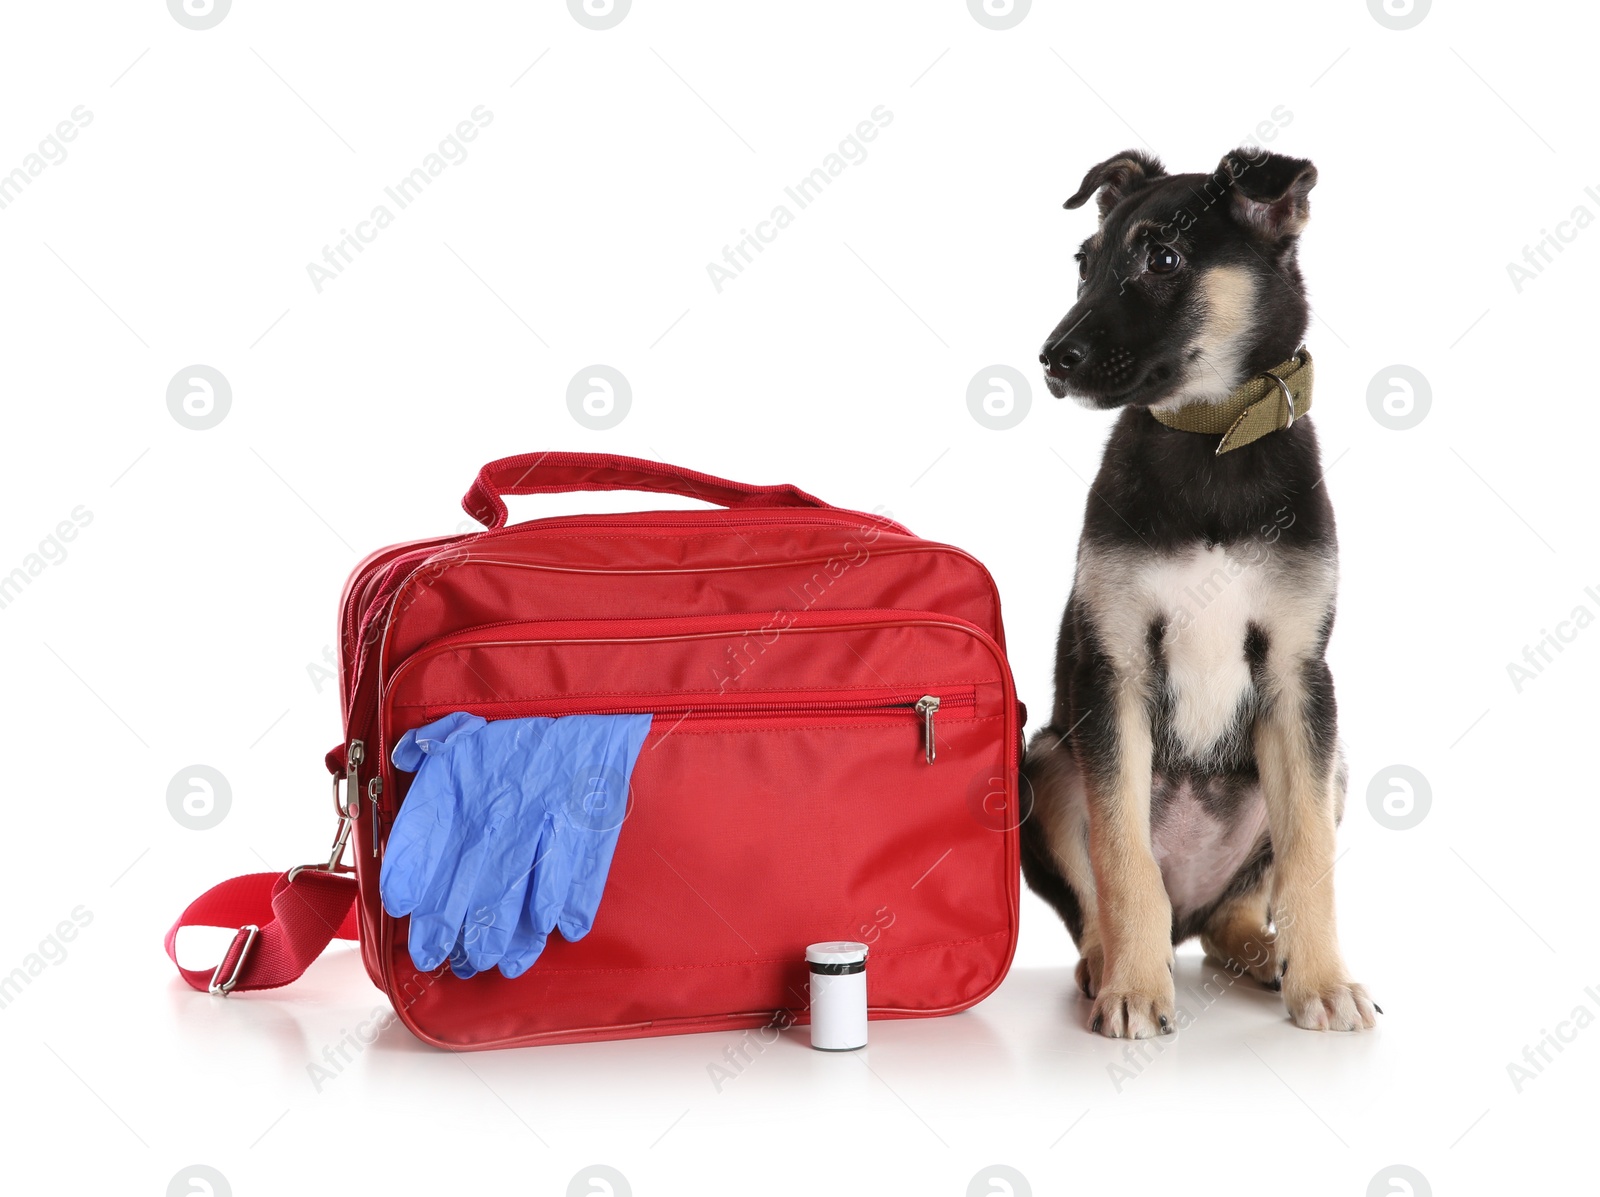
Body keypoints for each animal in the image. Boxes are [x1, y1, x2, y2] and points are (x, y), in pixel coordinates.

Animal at [1030, 144, 1382, 1030]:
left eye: (1162, 259)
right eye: (1083, 264)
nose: (1051, 358)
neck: (1209, 436)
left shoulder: (1299, 676)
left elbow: (1309, 855)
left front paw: (1323, 980)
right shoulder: (1113, 672)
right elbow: (1122, 856)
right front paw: (1133, 990)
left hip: (1333, 762)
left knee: (1236, 912)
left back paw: (1264, 953)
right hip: (1047, 761)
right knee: (1110, 904)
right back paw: (1109, 966)